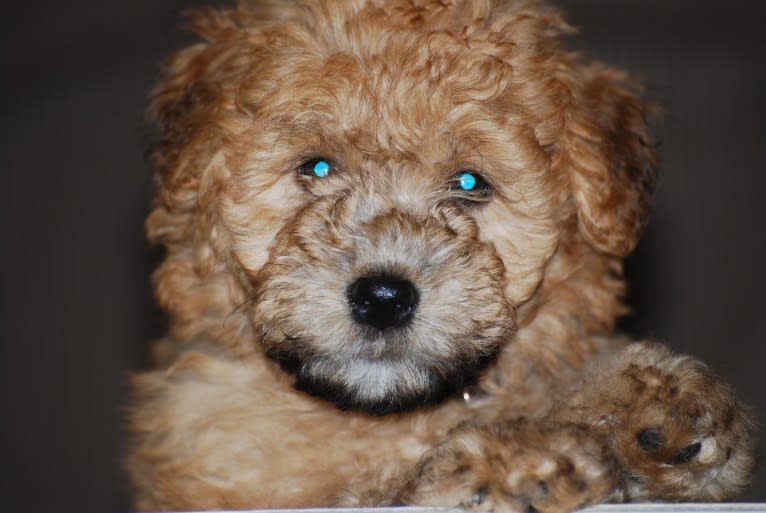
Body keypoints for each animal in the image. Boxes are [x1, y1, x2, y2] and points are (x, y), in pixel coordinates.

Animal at [124, 2, 756, 510]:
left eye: (471, 182)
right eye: (318, 167)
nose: (383, 297)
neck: (384, 419)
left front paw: (648, 406)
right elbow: (369, 493)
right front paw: (513, 460)